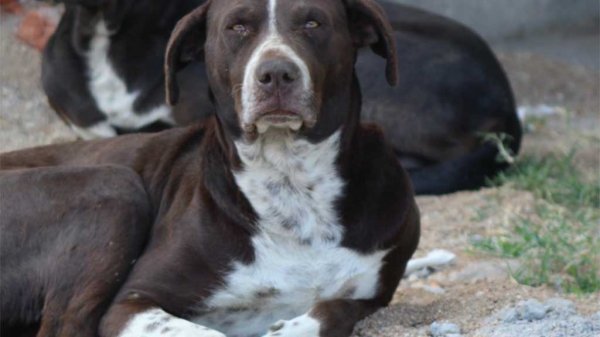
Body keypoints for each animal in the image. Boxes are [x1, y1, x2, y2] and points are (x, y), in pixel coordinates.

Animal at [0, 0, 420, 336]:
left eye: (313, 23)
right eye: (237, 27)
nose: (276, 74)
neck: (290, 182)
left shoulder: (371, 295)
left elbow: (332, 310)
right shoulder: (131, 301)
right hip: (114, 185)